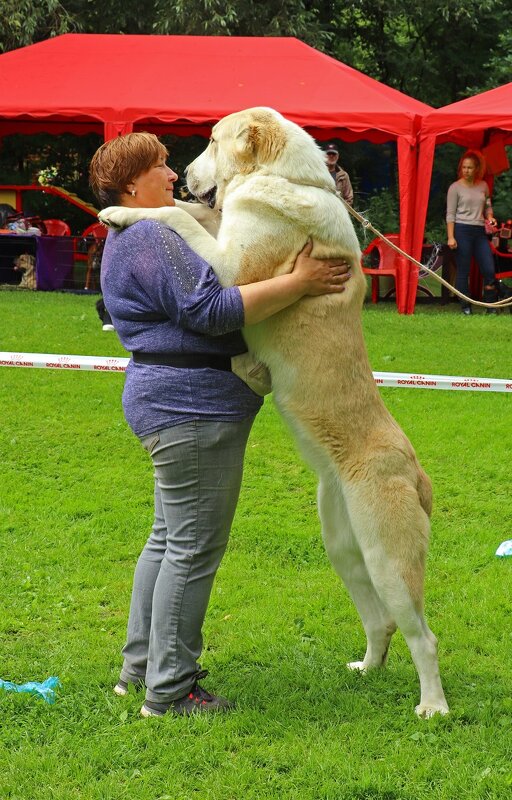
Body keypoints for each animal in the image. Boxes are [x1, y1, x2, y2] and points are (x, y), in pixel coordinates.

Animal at [100, 108, 448, 720]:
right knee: (380, 620)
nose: (182, 174)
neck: (287, 178)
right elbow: (199, 214)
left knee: (422, 636)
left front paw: (122, 211)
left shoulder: (230, 273)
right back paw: (368, 669)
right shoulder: (224, 237)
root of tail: (414, 472)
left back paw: (432, 707)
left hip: (388, 558)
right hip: (344, 546)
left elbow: (177, 216)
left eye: (212, 141)